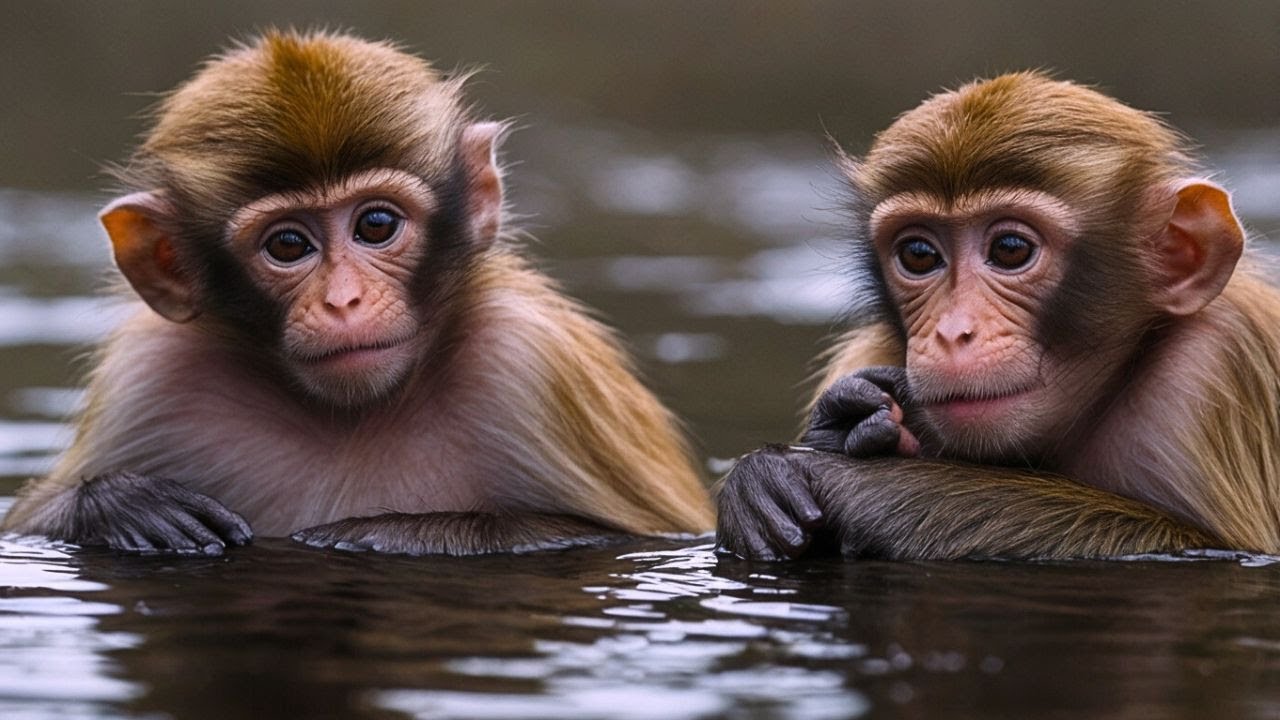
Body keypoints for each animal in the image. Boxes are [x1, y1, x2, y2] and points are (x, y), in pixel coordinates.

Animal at [0, 30, 714, 556]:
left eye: (376, 225)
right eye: (289, 245)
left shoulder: (530, 358)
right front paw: (125, 505)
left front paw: (389, 533)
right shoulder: (149, 376)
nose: (343, 300)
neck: (351, 420)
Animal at [716, 72, 1278, 561]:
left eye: (1010, 249)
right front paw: (843, 419)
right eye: (918, 254)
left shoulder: (1216, 365)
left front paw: (829, 480)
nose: (950, 332)